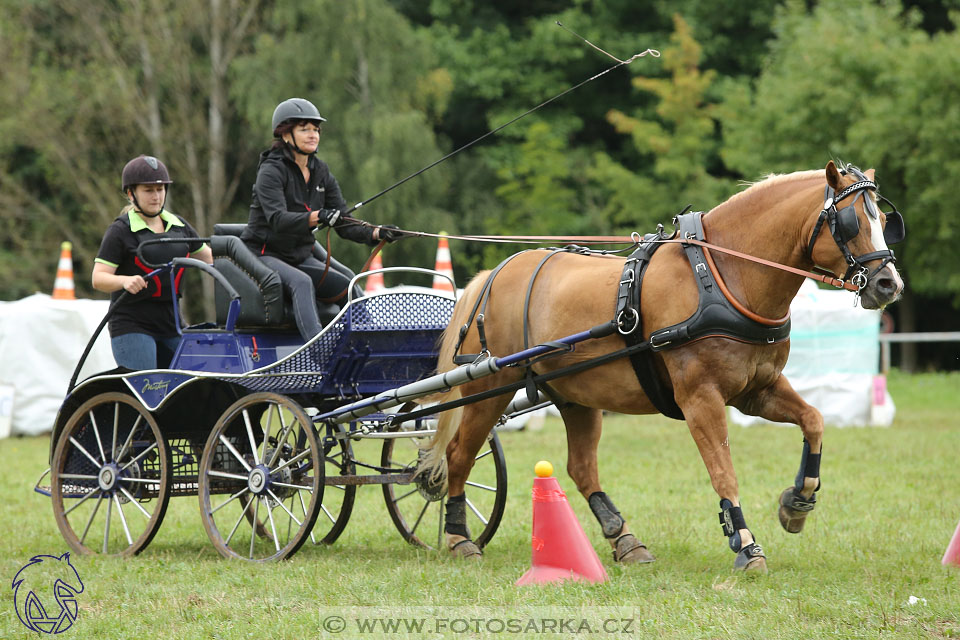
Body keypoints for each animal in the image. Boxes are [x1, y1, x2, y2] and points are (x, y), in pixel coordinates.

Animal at [416, 160, 904, 568]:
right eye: (851, 221)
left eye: (884, 222)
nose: (888, 284)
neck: (723, 275)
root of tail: (492, 277)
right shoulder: (700, 398)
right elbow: (723, 471)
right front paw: (745, 544)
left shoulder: (756, 390)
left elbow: (815, 421)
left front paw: (796, 504)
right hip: (488, 390)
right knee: (459, 456)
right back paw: (459, 538)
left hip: (575, 395)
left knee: (581, 468)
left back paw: (625, 540)